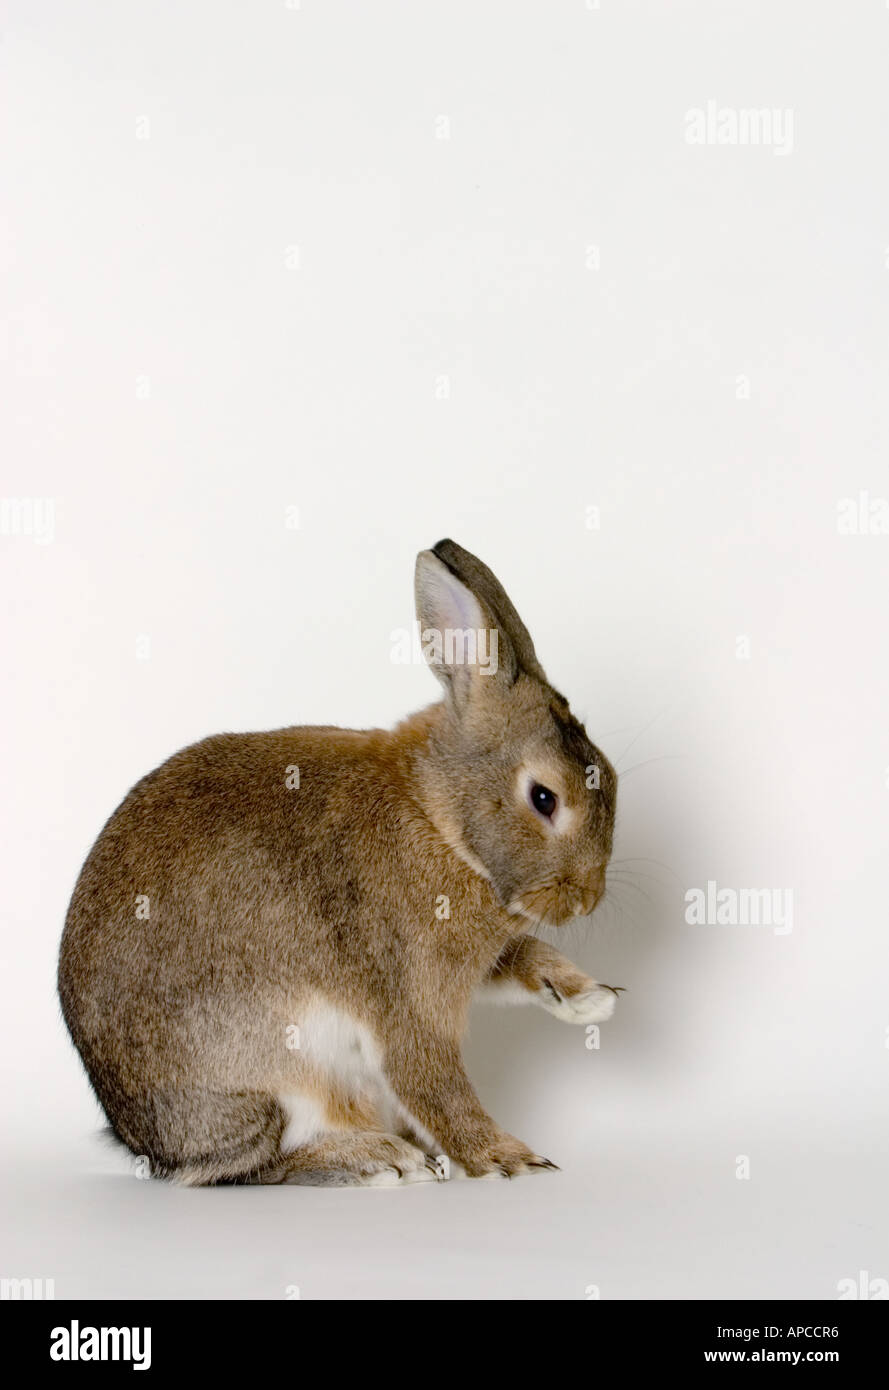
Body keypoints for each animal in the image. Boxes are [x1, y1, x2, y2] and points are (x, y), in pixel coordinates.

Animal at [58, 539, 620, 1185]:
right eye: (544, 798)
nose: (587, 897)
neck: (438, 815)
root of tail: (145, 1144)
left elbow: (525, 958)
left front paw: (590, 997)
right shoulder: (410, 997)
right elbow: (433, 1082)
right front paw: (510, 1159)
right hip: (275, 1080)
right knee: (259, 1164)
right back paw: (383, 1159)